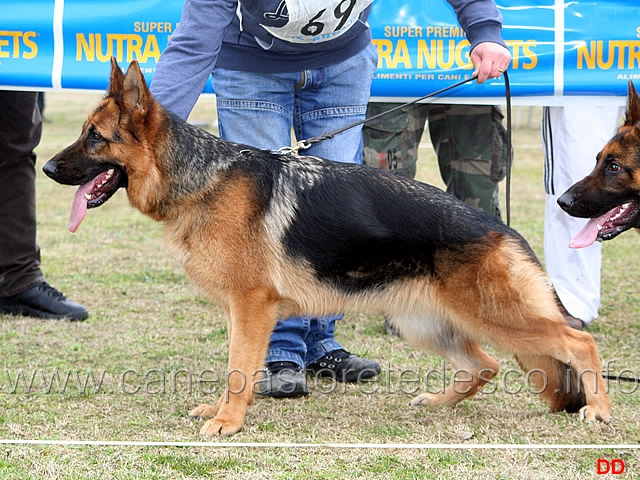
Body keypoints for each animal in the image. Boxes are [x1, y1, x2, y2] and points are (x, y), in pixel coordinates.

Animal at [42, 59, 612, 436]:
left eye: (95, 137)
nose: (46, 168)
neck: (200, 178)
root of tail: (503, 230)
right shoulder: (241, 311)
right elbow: (236, 365)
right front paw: (222, 411)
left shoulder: (251, 307)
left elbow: (239, 368)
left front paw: (229, 421)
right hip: (425, 322)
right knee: (486, 365)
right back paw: (439, 401)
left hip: (496, 317)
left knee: (578, 341)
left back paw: (600, 409)